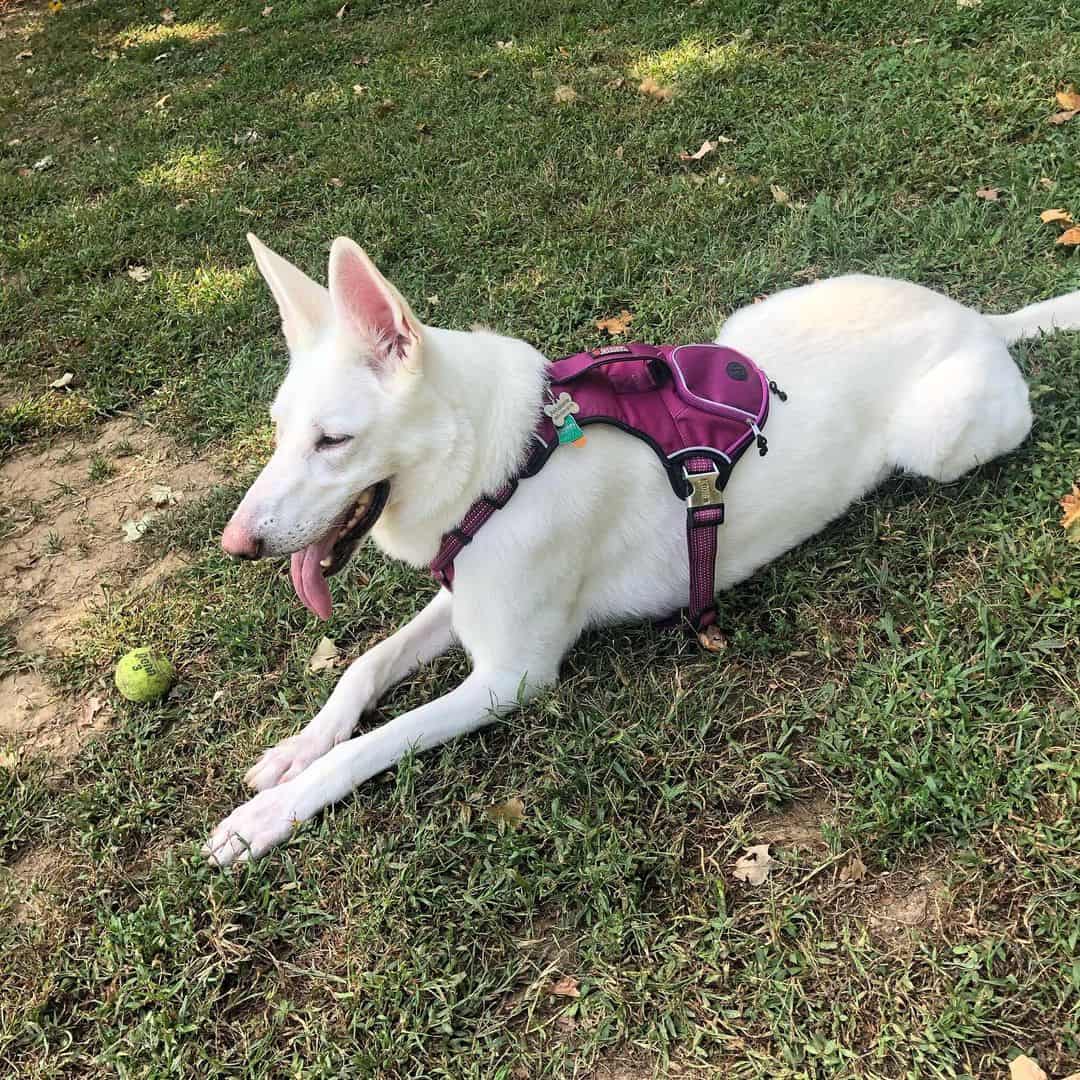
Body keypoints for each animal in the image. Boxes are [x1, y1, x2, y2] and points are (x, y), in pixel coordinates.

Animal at [204, 232, 1080, 864]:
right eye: (279, 431)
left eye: (334, 441)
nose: (235, 544)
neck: (508, 464)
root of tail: (975, 318)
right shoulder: (460, 600)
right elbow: (361, 668)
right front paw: (294, 749)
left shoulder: (509, 678)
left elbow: (372, 745)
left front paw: (268, 815)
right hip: (750, 320)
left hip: (941, 439)